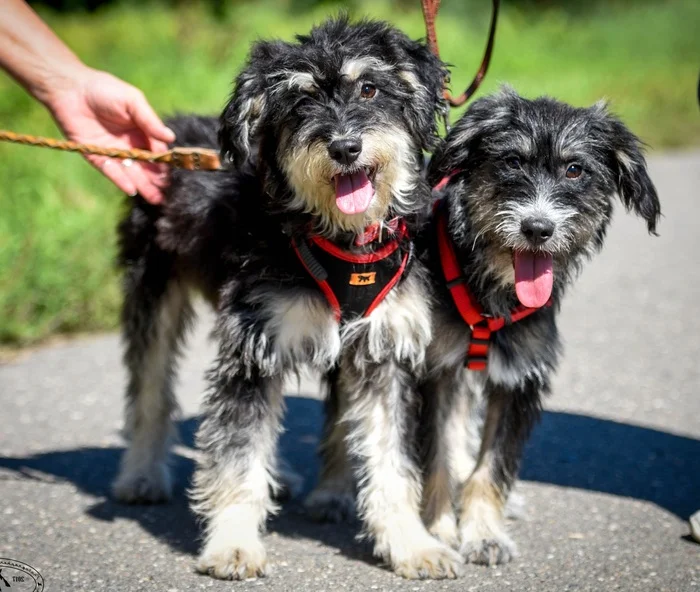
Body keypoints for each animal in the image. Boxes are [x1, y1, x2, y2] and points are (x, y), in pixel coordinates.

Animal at [112, 18, 462, 584]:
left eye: (369, 88)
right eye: (300, 101)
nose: (345, 147)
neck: (338, 236)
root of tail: (170, 138)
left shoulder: (381, 351)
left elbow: (392, 459)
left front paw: (411, 544)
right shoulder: (253, 344)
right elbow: (237, 454)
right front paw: (233, 544)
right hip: (152, 289)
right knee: (150, 388)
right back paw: (141, 474)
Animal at [416, 86, 660, 564]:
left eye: (575, 169)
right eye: (512, 161)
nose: (537, 228)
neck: (491, 292)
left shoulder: (519, 378)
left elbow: (491, 465)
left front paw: (484, 532)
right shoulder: (435, 369)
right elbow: (435, 455)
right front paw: (437, 528)